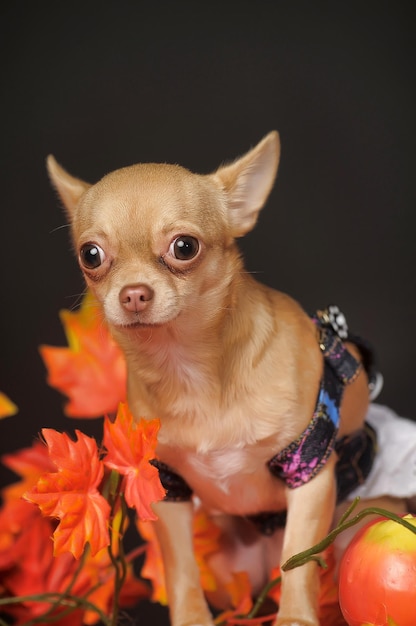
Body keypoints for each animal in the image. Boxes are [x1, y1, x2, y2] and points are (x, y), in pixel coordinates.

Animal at [45, 133, 396, 624]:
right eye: (90, 255)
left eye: (184, 247)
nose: (133, 293)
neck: (190, 369)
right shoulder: (166, 487)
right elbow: (180, 569)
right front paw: (191, 618)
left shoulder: (308, 468)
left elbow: (300, 563)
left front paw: (295, 617)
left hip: (352, 528)